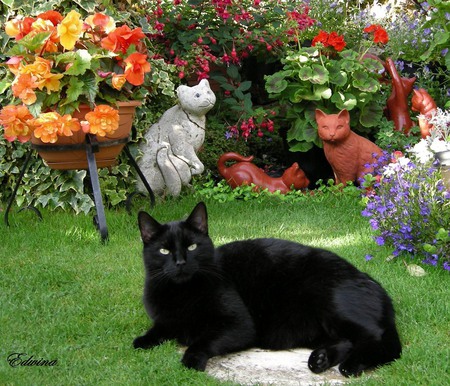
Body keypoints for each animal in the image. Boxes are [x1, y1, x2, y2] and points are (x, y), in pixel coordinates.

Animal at [133, 202, 400, 376]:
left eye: (192, 247)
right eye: (164, 250)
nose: (180, 262)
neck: (182, 293)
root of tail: (372, 282)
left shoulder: (239, 325)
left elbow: (201, 340)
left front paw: (191, 359)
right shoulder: (164, 320)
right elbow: (157, 331)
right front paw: (144, 340)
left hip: (332, 303)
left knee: (384, 342)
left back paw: (352, 365)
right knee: (347, 340)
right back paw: (320, 360)